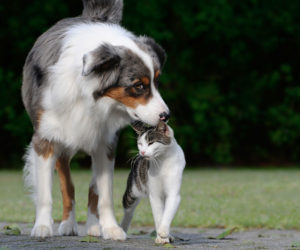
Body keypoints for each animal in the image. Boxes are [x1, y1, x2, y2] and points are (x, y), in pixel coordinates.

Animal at [22, 0, 170, 240]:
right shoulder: (45, 139)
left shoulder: (105, 144)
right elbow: (47, 192)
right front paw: (42, 226)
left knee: (93, 189)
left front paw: (110, 228)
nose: (166, 115)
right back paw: (68, 224)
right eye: (139, 85)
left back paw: (93, 226)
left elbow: (105, 194)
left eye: (156, 82)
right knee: (68, 185)